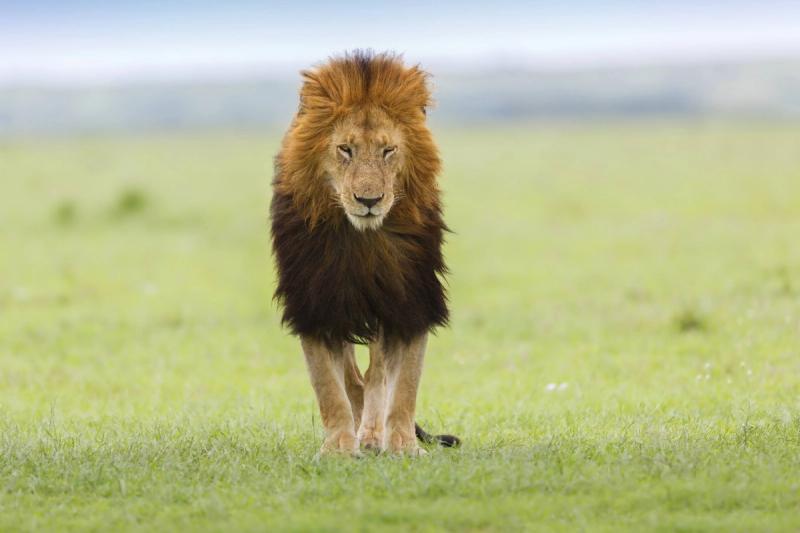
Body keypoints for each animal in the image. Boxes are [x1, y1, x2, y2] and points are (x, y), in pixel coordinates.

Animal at [270, 51, 459, 455]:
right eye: (346, 149)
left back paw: (373, 434)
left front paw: (403, 445)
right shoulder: (316, 301)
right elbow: (329, 385)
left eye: (388, 150)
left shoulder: (409, 298)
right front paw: (339, 448)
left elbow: (403, 384)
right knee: (354, 378)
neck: (362, 240)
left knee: (376, 374)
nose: (369, 200)